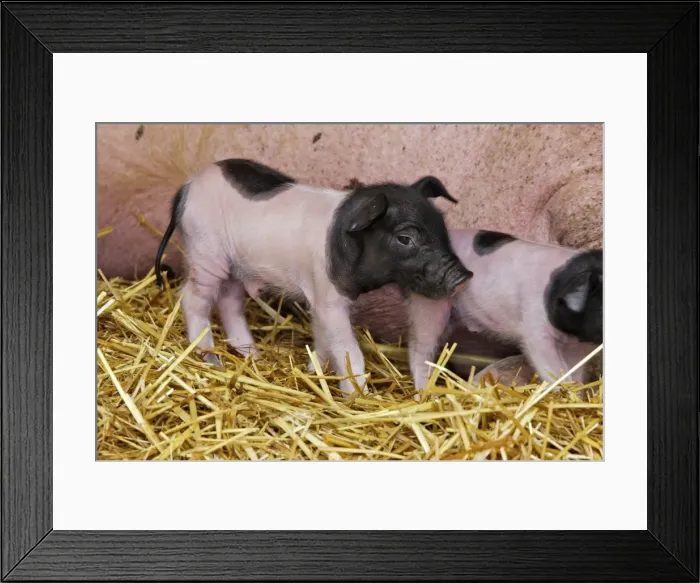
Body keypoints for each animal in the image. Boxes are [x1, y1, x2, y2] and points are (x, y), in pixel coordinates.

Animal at [154, 158, 473, 395]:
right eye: (405, 238)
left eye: (442, 225)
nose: (463, 275)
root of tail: (185, 188)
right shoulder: (329, 297)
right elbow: (347, 348)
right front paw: (360, 396)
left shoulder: (318, 297)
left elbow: (322, 339)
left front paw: (313, 372)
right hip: (206, 253)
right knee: (193, 299)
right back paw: (211, 359)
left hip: (235, 266)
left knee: (229, 303)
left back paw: (252, 355)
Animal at [407, 228, 602, 392]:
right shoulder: (535, 330)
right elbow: (552, 369)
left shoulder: (578, 348)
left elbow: (575, 372)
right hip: (427, 305)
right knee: (419, 349)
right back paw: (425, 393)